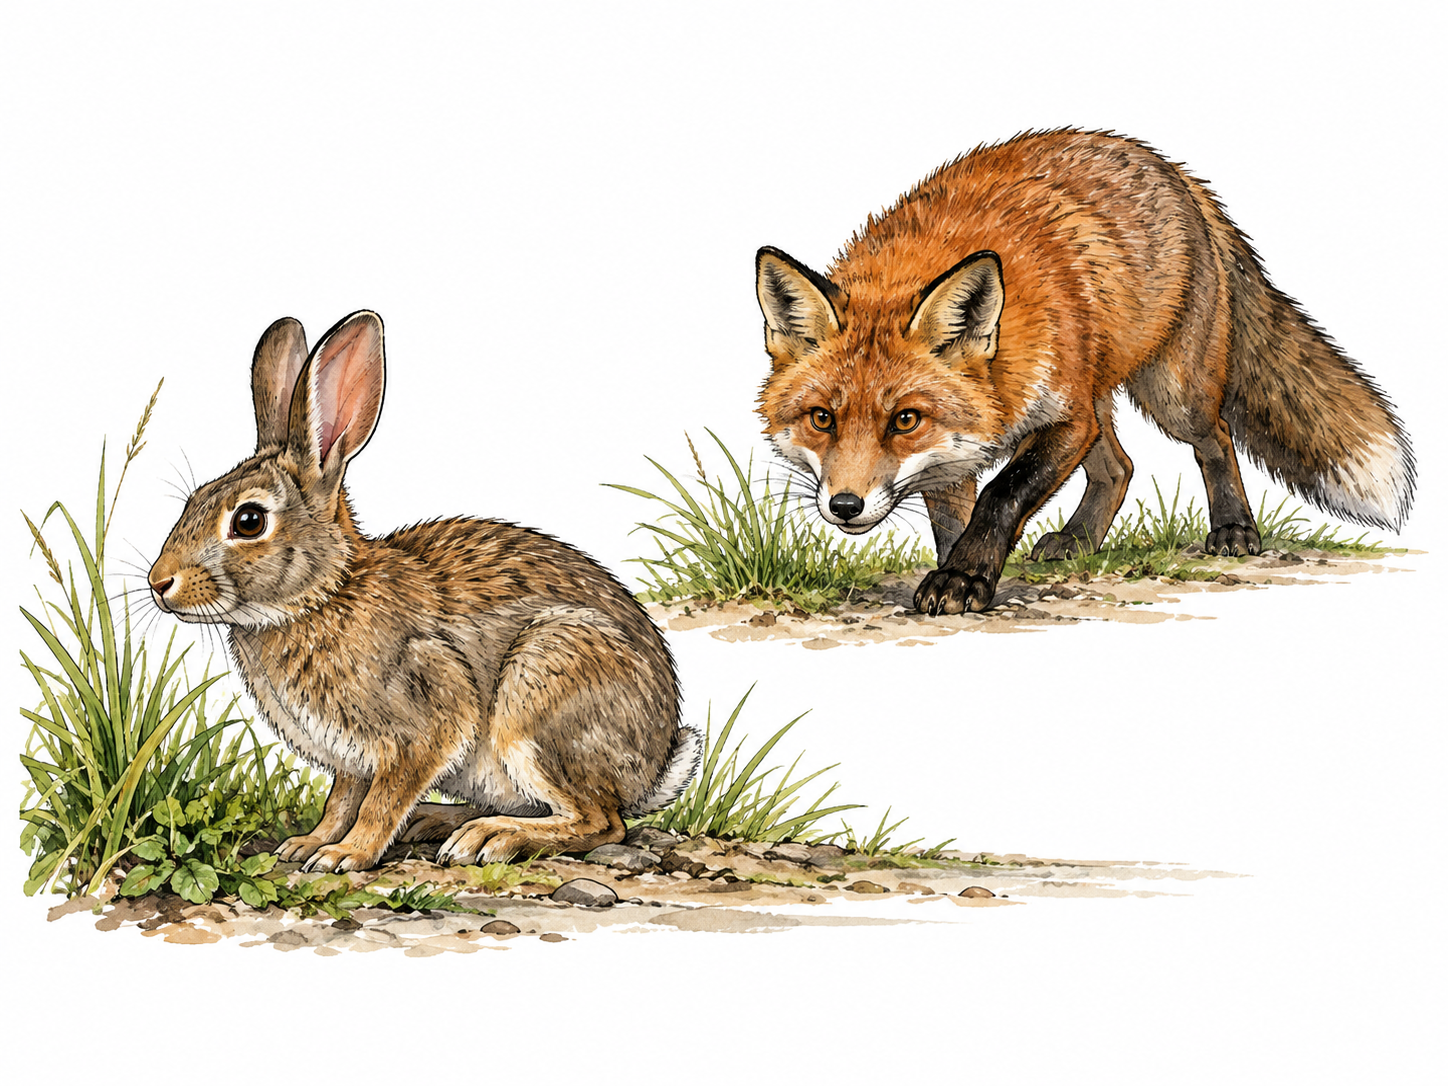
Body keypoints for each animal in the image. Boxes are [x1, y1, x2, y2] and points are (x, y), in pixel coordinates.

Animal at [148, 310, 700, 873]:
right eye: (194, 500)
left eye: (249, 521)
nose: (159, 583)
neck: (323, 595)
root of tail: (654, 768)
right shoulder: (353, 757)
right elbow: (341, 799)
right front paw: (307, 844)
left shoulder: (425, 720)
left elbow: (382, 800)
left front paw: (344, 855)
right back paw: (442, 821)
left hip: (541, 688)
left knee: (601, 822)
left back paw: (489, 839)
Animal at [755, 128, 1414, 615]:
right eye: (821, 419)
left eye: (904, 420)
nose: (845, 505)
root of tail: (1175, 172)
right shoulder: (962, 450)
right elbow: (954, 516)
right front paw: (959, 569)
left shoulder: (1060, 421)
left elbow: (1000, 495)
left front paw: (965, 577)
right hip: (1097, 398)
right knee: (1119, 467)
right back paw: (1077, 542)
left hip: (1170, 393)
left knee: (1216, 437)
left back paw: (1233, 530)